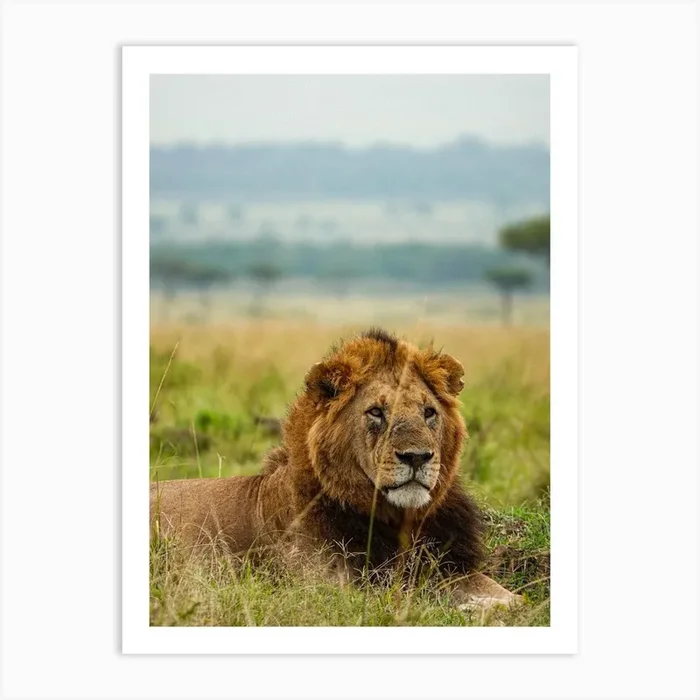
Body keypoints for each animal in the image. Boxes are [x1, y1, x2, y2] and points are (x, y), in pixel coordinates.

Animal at [150, 328, 522, 612]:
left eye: (428, 412)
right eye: (376, 412)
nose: (417, 457)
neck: (399, 521)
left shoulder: (448, 569)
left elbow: (512, 597)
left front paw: (500, 604)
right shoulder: (330, 590)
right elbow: (416, 600)